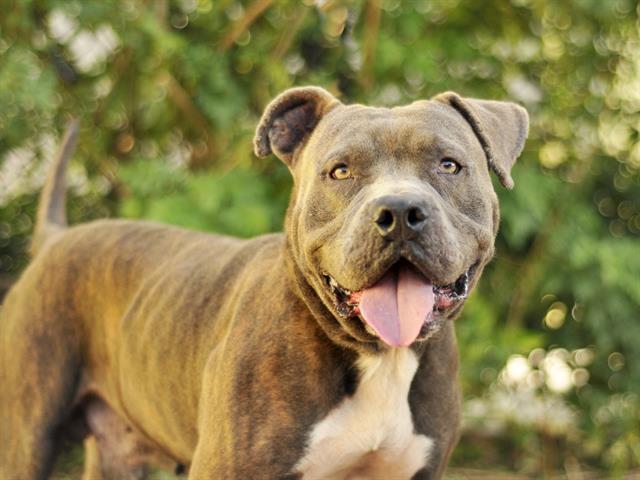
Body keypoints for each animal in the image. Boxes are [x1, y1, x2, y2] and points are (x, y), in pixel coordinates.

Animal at [0, 87, 528, 480]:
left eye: (448, 164)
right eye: (340, 171)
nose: (398, 211)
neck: (377, 356)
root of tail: (55, 239)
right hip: (25, 434)